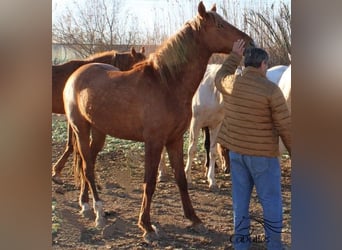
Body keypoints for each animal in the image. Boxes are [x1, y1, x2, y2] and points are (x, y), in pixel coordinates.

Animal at [62, 0, 254, 241]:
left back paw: (85, 205)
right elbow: (150, 181)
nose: (249, 43)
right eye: (219, 25)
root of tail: (76, 75)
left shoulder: (175, 139)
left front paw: (194, 219)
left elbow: (181, 178)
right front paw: (146, 226)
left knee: (88, 164)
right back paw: (98, 212)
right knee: (87, 167)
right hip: (81, 128)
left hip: (98, 132)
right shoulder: (154, 142)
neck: (166, 83)